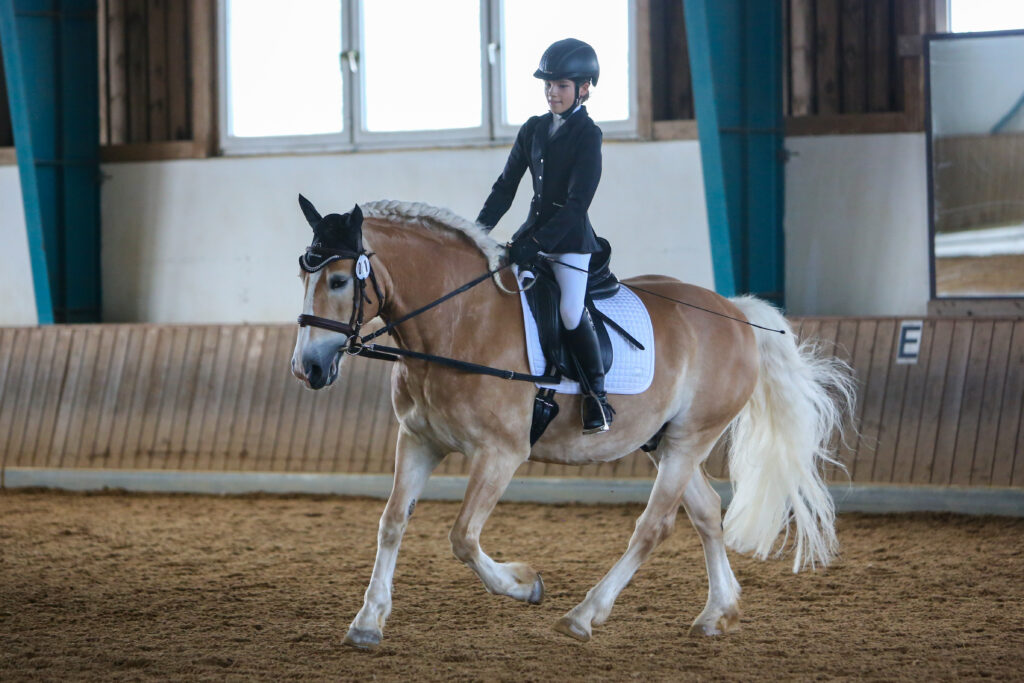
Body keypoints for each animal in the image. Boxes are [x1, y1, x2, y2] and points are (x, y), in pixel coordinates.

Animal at [290, 196, 856, 647]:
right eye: (303, 276)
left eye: (338, 279)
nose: (307, 368)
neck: (457, 323)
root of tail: (734, 312)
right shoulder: (418, 440)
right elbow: (391, 524)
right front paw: (367, 622)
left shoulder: (501, 453)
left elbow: (463, 535)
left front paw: (524, 585)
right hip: (667, 442)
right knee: (707, 514)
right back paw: (718, 614)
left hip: (691, 438)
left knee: (653, 527)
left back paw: (584, 615)